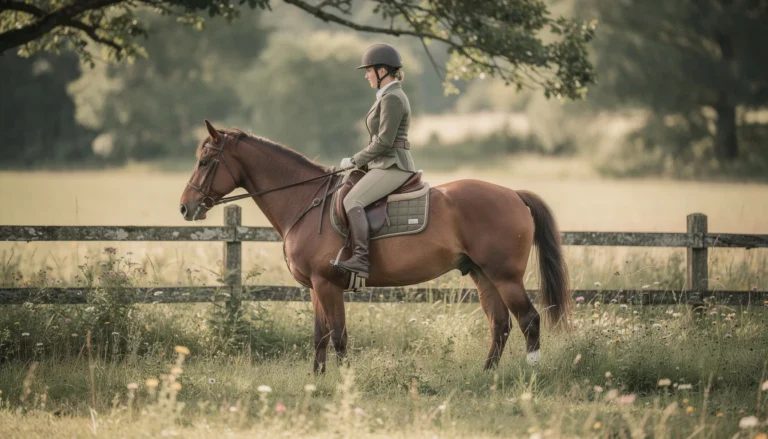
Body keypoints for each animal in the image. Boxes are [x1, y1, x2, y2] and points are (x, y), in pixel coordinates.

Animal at [179, 120, 571, 373]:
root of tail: (513, 194)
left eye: (204, 162)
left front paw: (345, 382)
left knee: (529, 320)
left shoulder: (327, 284)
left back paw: (531, 374)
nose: (185, 208)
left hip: (505, 277)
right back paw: (486, 375)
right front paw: (317, 381)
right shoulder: (315, 288)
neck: (305, 200)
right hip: (482, 275)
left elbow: (338, 335)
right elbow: (320, 335)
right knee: (499, 324)